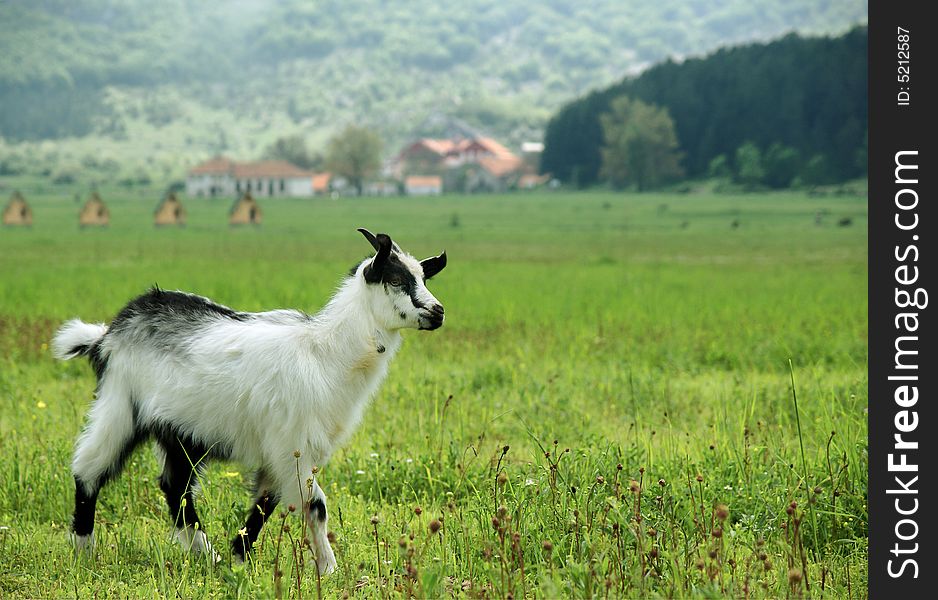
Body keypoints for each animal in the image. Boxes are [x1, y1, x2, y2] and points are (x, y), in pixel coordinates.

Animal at [51, 227, 446, 576]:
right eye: (395, 279)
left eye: (424, 278)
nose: (438, 311)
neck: (325, 352)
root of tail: (108, 334)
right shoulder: (291, 444)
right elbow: (315, 506)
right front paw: (330, 568)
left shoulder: (283, 451)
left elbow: (266, 504)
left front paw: (240, 558)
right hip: (120, 406)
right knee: (88, 470)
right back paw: (84, 550)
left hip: (182, 430)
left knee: (175, 487)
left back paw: (206, 555)